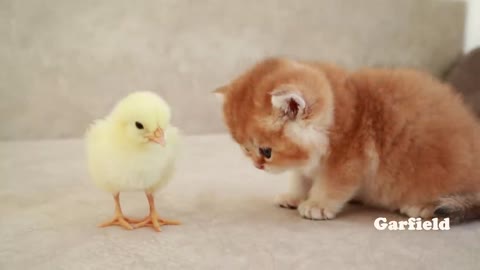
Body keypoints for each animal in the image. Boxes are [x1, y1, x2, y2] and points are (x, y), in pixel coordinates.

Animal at [215, 57, 480, 224]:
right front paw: (294, 196)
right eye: (246, 149)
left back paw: (423, 206)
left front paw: (316, 204)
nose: (257, 165)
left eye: (266, 151)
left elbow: (331, 185)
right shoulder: (306, 165)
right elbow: (300, 178)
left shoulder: (348, 160)